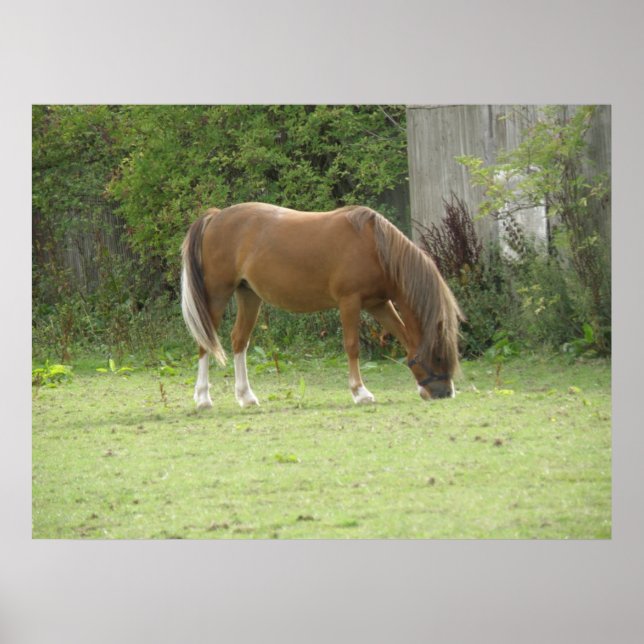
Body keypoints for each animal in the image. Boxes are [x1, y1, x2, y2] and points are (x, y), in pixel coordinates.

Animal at [181, 202, 462, 408]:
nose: (445, 393)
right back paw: (203, 398)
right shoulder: (350, 302)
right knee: (205, 341)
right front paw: (360, 392)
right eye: (439, 356)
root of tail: (215, 217)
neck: (375, 247)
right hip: (217, 295)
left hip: (248, 295)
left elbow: (404, 337)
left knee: (239, 340)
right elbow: (352, 346)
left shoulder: (379, 304)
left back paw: (246, 397)